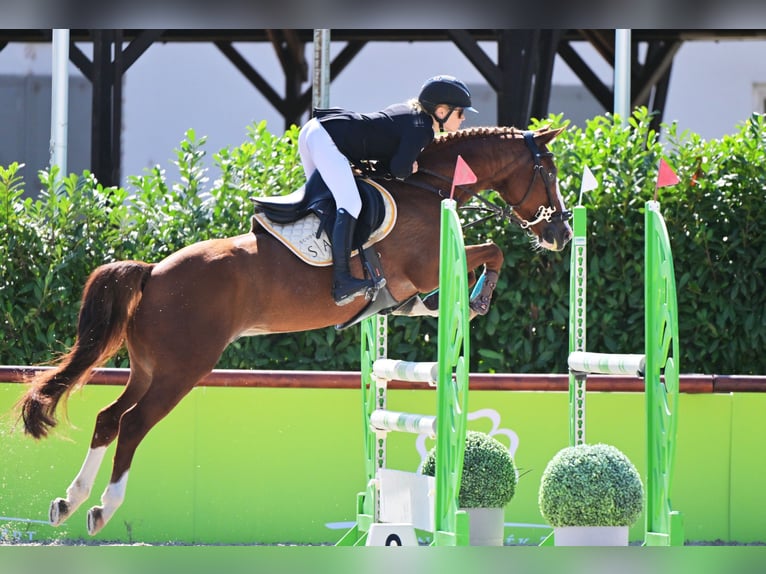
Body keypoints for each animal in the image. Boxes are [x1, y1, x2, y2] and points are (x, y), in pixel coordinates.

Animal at [16, 127, 568, 540]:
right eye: (550, 171)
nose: (560, 233)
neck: (428, 188)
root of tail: (152, 273)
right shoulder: (428, 265)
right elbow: (494, 249)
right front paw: (476, 300)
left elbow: (457, 276)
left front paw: (450, 305)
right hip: (182, 370)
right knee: (132, 424)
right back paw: (102, 509)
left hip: (150, 368)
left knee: (109, 417)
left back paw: (69, 501)